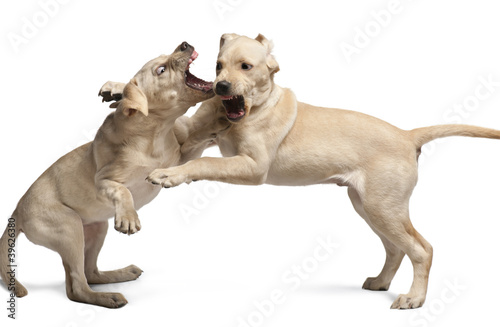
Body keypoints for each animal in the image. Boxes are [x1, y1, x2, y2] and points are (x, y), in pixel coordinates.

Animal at [0, 41, 217, 308]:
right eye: (161, 70)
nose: (185, 44)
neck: (155, 132)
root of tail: (16, 212)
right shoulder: (103, 180)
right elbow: (122, 189)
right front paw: (129, 218)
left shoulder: (180, 158)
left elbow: (194, 149)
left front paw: (217, 127)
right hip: (69, 228)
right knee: (77, 287)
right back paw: (108, 297)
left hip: (96, 229)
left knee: (90, 272)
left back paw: (121, 274)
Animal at [145, 34, 500, 312]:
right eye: (218, 66)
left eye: (246, 66)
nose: (220, 87)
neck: (256, 108)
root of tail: (406, 135)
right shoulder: (197, 141)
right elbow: (188, 142)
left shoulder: (253, 167)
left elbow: (204, 164)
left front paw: (169, 175)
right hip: (368, 205)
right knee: (396, 248)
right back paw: (381, 282)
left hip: (383, 208)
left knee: (421, 249)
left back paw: (414, 298)